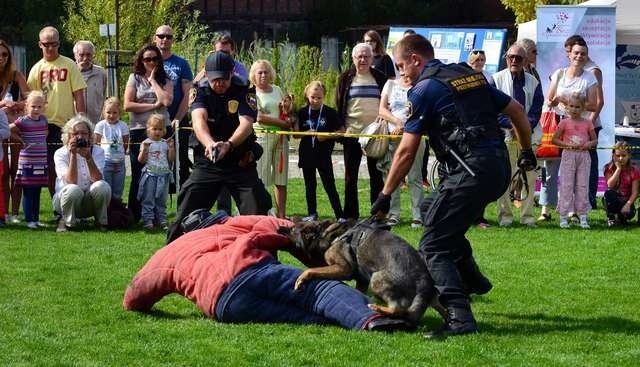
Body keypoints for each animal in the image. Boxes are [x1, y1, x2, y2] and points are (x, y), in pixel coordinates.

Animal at [280, 218, 444, 328]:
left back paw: (378, 308)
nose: (280, 227)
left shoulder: (343, 268)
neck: (322, 233)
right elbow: (358, 291)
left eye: (291, 230)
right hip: (433, 299)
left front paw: (301, 279)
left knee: (398, 309)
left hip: (376, 279)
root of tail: (423, 281)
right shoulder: (362, 280)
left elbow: (311, 270)